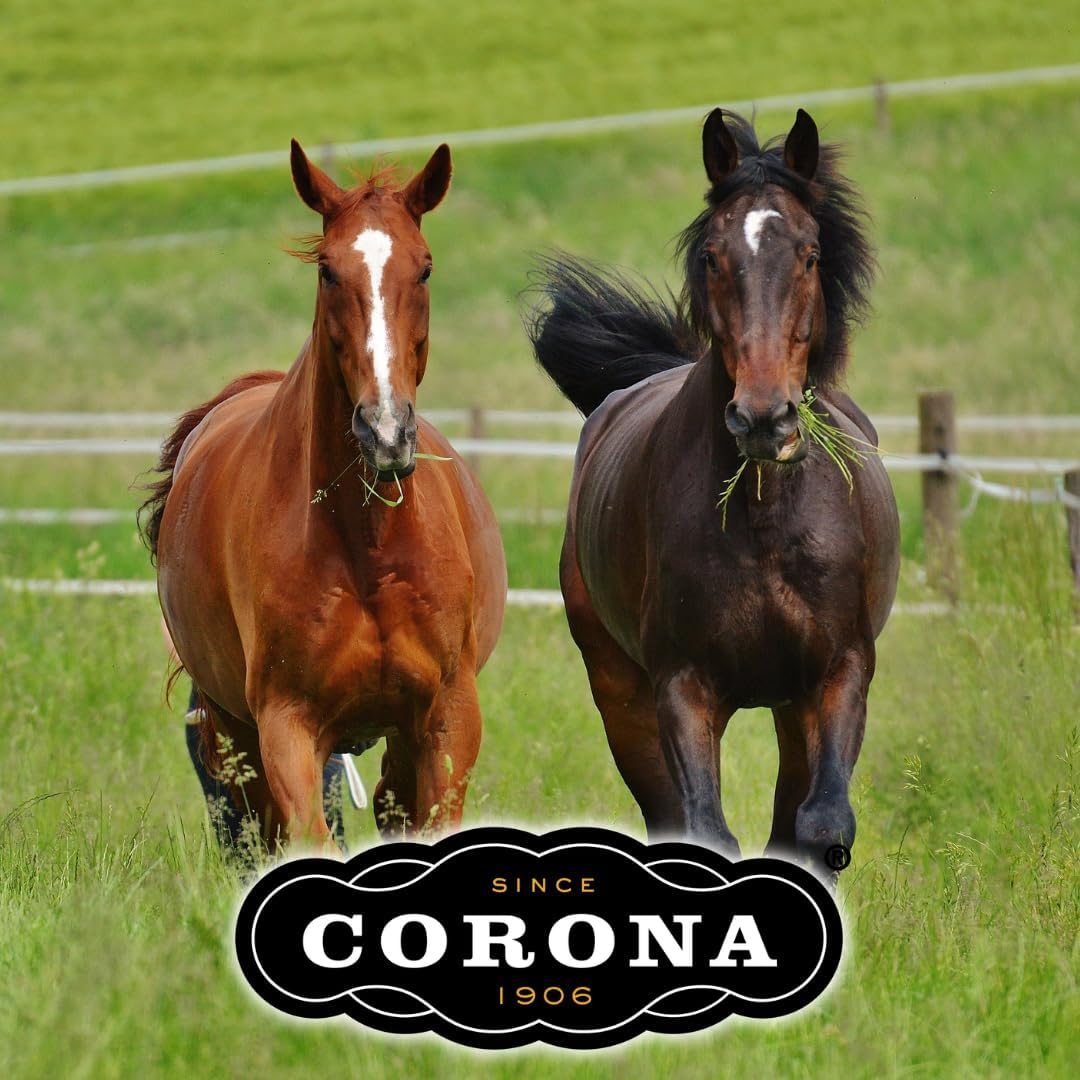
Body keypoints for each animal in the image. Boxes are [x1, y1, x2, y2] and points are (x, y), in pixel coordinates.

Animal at [141, 141, 507, 850]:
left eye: (424, 268)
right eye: (328, 272)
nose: (386, 430)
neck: (367, 546)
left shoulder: (447, 717)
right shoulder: (286, 725)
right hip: (235, 731)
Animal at [528, 109, 899, 875]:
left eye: (810, 254)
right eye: (710, 256)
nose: (762, 418)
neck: (764, 523)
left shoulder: (839, 672)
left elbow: (822, 822)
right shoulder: (682, 686)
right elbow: (703, 829)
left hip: (790, 706)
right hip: (620, 693)